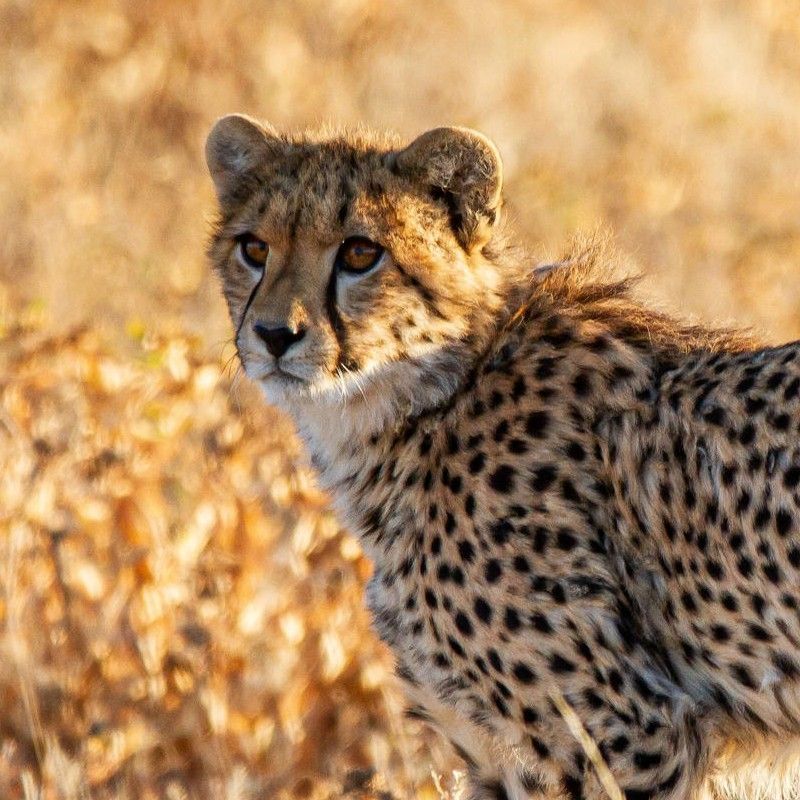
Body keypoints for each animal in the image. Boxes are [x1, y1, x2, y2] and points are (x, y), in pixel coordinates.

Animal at [205, 114, 800, 800]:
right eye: (254, 249)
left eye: (359, 253)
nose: (275, 335)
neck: (430, 394)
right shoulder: (496, 755)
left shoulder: (627, 735)